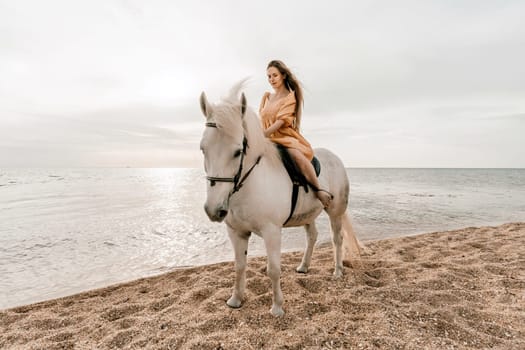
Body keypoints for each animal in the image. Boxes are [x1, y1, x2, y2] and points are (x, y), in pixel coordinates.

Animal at [199, 82, 362, 318]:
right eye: (203, 149)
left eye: (238, 151)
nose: (214, 209)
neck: (249, 185)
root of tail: (335, 158)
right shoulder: (236, 232)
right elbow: (239, 266)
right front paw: (235, 299)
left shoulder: (272, 232)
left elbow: (273, 270)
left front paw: (277, 307)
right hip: (307, 214)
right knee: (312, 236)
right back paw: (304, 266)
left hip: (335, 211)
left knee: (337, 238)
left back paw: (338, 271)